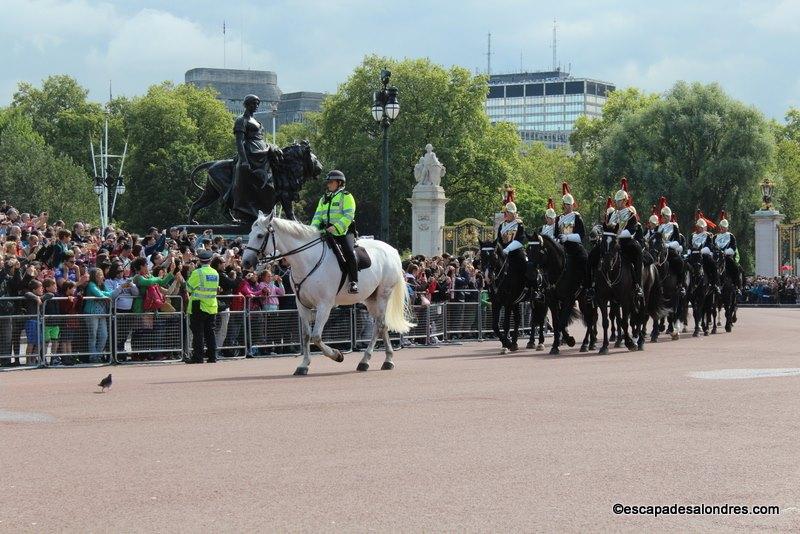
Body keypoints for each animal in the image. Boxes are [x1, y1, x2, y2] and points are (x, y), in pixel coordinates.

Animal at [188, 141, 324, 225]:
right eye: (316, 159)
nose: (321, 167)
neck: (288, 166)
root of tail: (212, 164)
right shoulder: (285, 194)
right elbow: (290, 211)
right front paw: (296, 222)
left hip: (211, 192)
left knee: (198, 204)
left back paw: (193, 222)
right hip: (223, 190)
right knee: (222, 206)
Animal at [244, 211, 416, 374]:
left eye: (260, 235)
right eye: (250, 234)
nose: (245, 262)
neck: (308, 260)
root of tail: (392, 250)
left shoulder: (324, 305)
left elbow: (316, 336)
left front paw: (337, 355)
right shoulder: (302, 305)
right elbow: (306, 335)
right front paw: (304, 365)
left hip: (382, 296)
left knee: (380, 325)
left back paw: (375, 360)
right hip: (370, 299)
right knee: (381, 326)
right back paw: (379, 360)